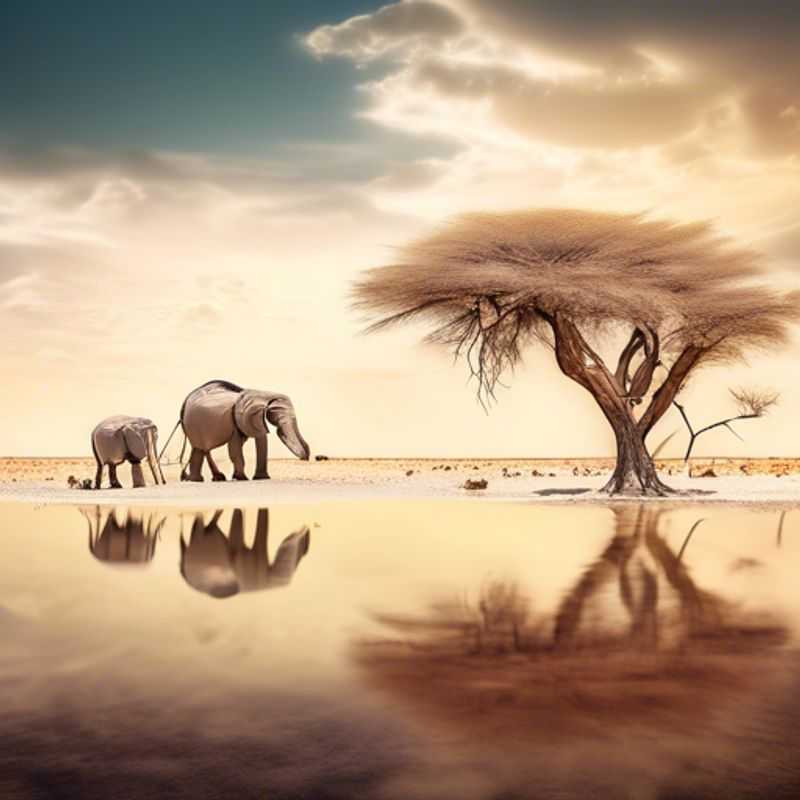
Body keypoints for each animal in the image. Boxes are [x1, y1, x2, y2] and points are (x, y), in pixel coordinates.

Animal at [180, 376, 310, 478]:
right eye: (277, 416)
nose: (306, 458)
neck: (264, 394)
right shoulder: (244, 417)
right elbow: (235, 448)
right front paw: (242, 478)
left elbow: (245, 443)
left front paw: (258, 478)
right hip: (193, 425)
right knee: (200, 448)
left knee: (200, 450)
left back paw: (200, 479)